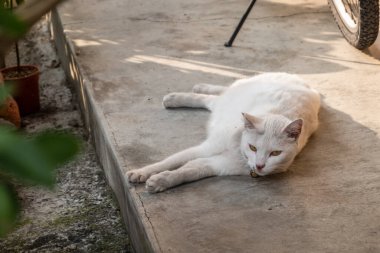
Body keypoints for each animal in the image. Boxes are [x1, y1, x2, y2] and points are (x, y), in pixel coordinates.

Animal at [126, 72, 320, 193]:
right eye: (253, 148)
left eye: (276, 153)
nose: (259, 166)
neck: (238, 150)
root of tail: (305, 84)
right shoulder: (206, 148)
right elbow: (168, 162)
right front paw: (141, 172)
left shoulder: (217, 165)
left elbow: (187, 171)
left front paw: (161, 181)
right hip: (239, 90)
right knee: (220, 91)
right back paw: (183, 94)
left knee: (212, 99)